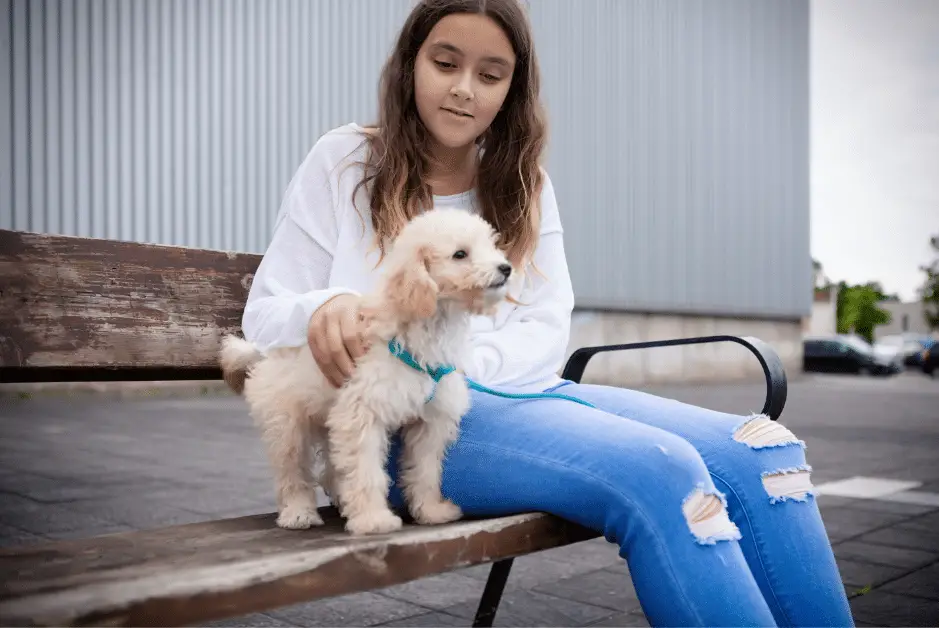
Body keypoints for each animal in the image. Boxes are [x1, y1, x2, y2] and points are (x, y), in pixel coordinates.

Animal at [220, 207, 516, 536]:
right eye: (460, 254)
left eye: (491, 245)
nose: (506, 268)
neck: (426, 325)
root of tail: (264, 351)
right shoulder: (362, 415)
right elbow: (366, 471)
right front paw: (374, 519)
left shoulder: (430, 422)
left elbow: (426, 471)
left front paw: (430, 511)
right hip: (287, 425)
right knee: (292, 471)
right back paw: (298, 512)